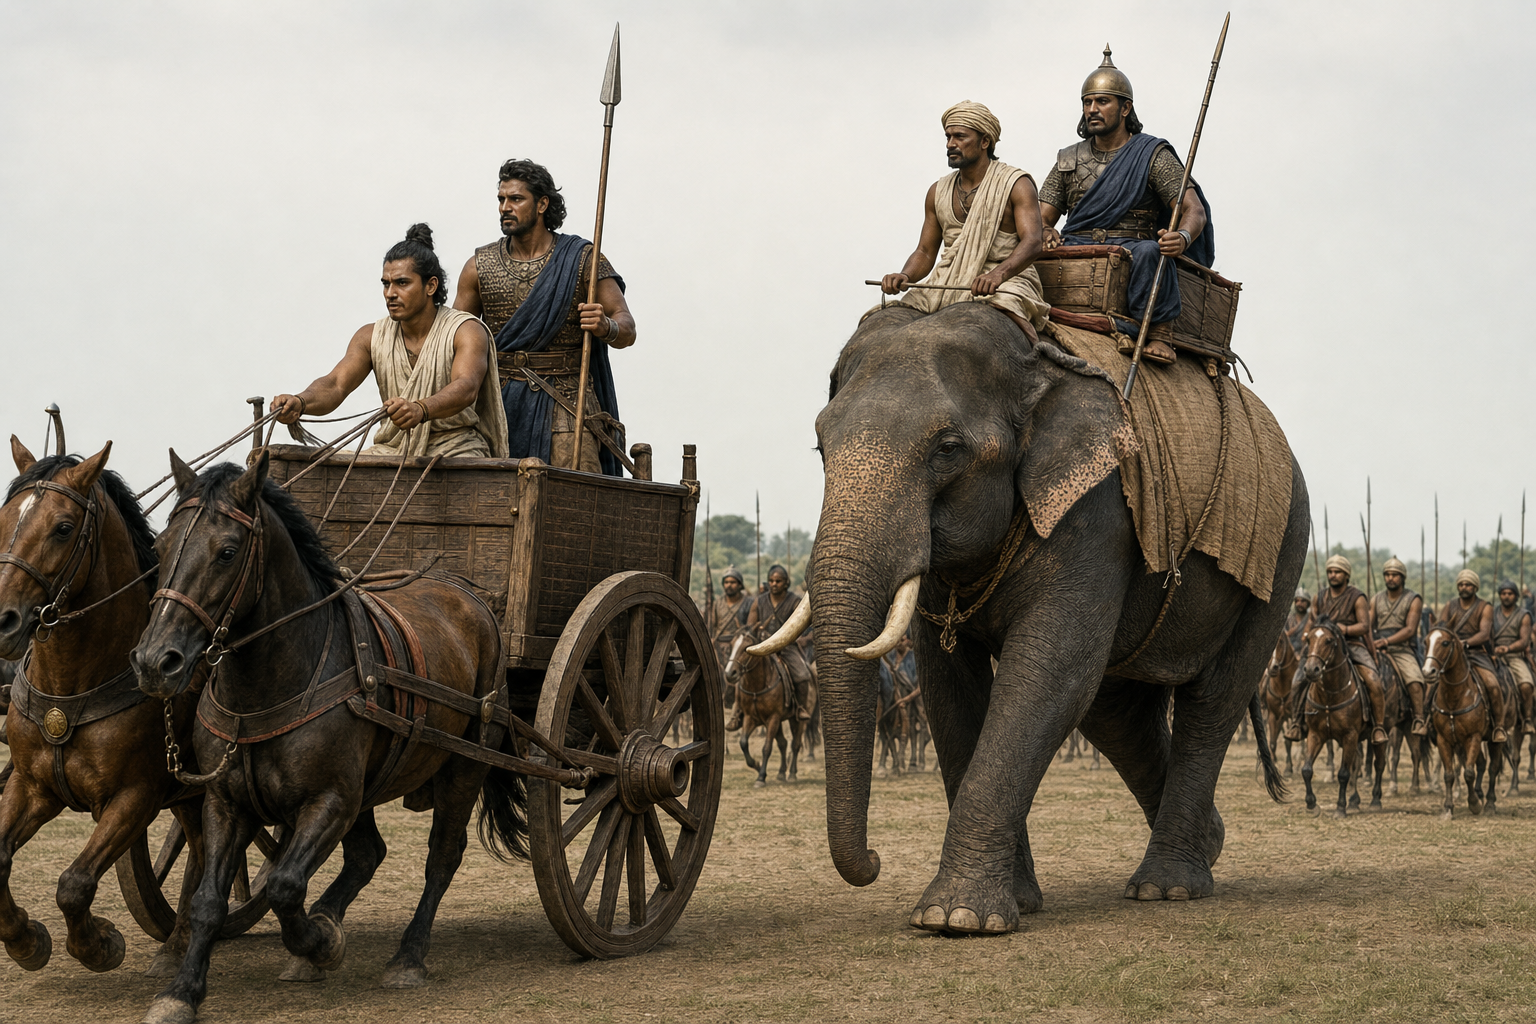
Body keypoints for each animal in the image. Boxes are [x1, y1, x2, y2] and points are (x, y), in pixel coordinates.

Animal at [755, 302, 1302, 936]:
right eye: (821, 446)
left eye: (948, 448)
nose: (873, 860)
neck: (1032, 365)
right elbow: (951, 687)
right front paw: (1005, 904)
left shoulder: (1098, 506)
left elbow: (1050, 670)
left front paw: (956, 917)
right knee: (1115, 713)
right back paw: (1209, 842)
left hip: (1282, 550)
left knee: (1213, 699)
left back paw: (1167, 887)